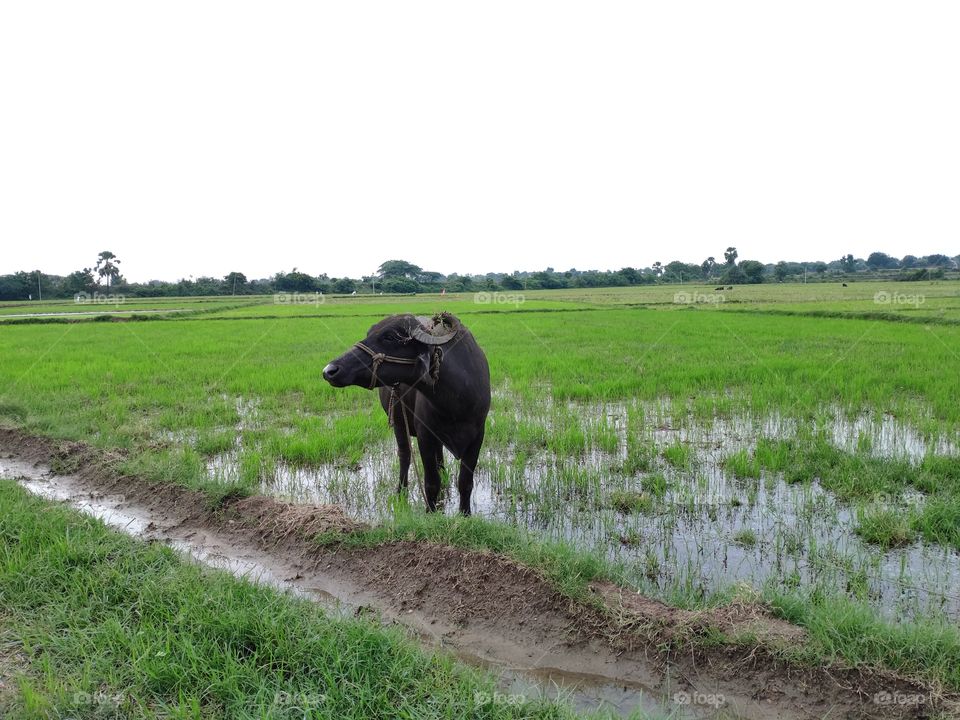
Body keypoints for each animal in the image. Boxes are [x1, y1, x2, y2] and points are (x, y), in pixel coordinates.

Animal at [322, 312, 492, 516]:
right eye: (369, 333)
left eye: (389, 337)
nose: (330, 370)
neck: (455, 401)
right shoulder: (425, 435)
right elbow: (431, 483)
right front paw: (431, 512)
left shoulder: (477, 436)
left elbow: (465, 482)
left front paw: (465, 514)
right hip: (399, 423)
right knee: (405, 456)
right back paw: (401, 491)